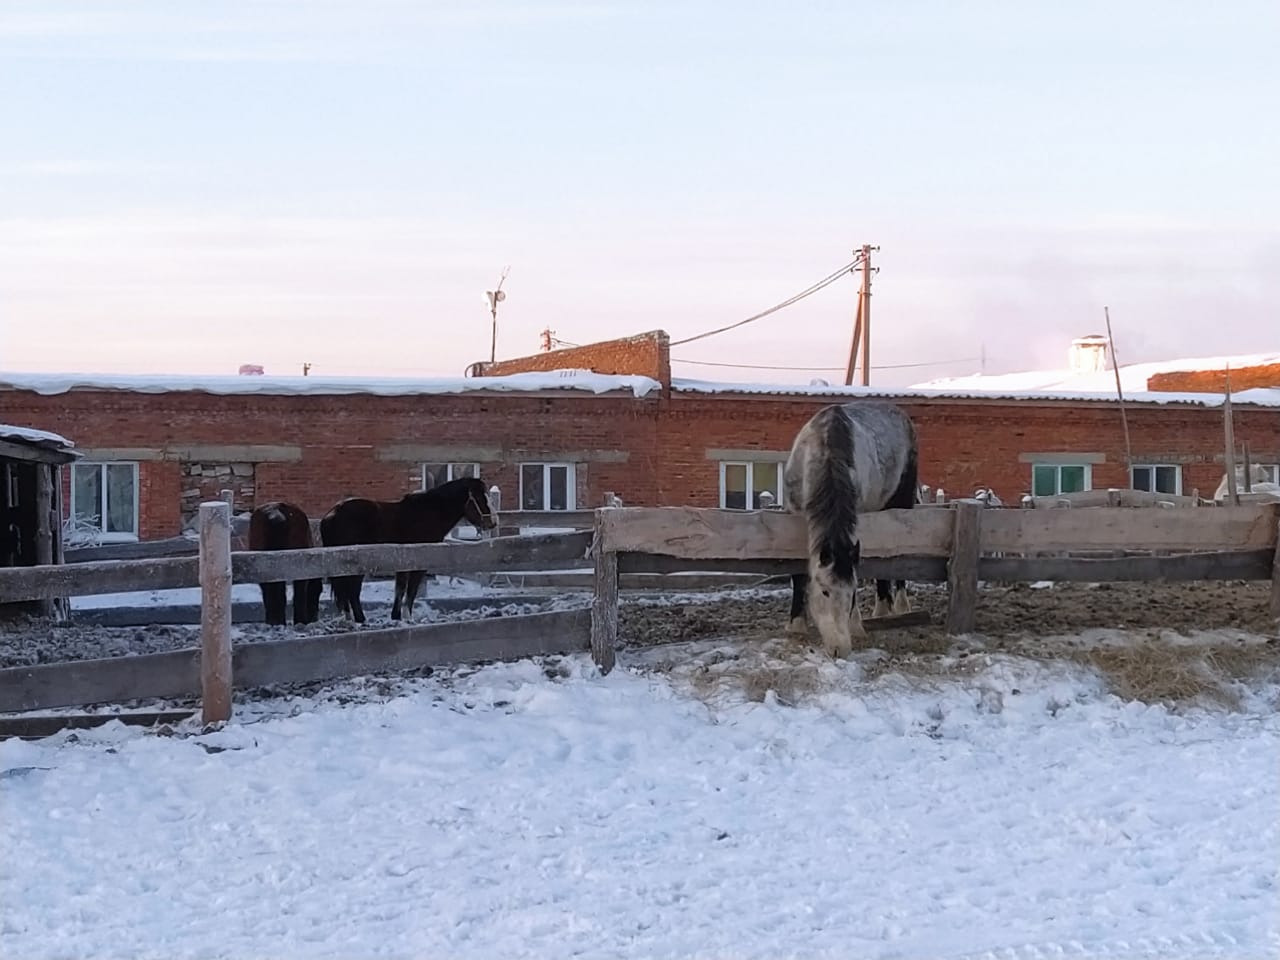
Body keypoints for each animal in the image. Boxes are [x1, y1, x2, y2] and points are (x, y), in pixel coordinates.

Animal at [318, 478, 494, 624]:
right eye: (480, 499)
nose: (493, 522)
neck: (428, 513)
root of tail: (332, 514)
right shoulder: (418, 563)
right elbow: (411, 590)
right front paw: (408, 616)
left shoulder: (403, 564)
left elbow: (400, 589)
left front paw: (396, 616)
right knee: (352, 591)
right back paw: (360, 619)